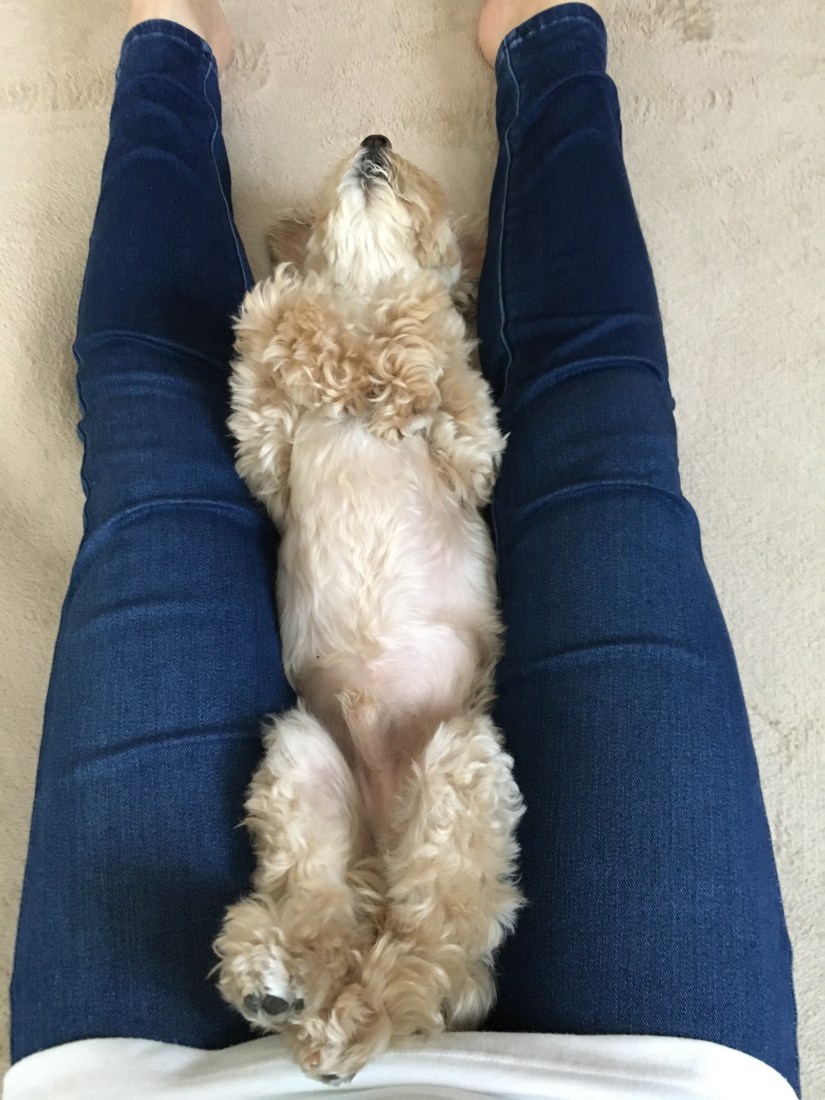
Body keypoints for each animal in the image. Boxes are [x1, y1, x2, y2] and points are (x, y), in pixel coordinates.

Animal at [211, 135, 526, 1085]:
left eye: (422, 181)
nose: (377, 139)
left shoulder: (471, 443)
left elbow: (421, 347)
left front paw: (391, 335)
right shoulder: (263, 450)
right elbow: (278, 349)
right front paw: (297, 309)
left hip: (459, 767)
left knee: (424, 962)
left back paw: (351, 1019)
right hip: (302, 760)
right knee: (325, 912)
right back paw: (281, 979)